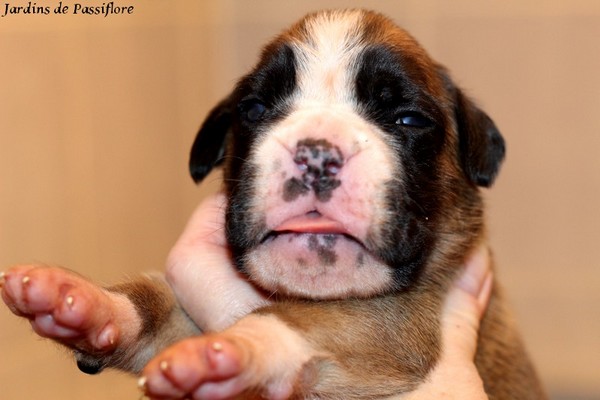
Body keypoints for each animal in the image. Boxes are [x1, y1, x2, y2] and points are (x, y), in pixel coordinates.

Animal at [1, 9, 546, 399]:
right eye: (255, 108)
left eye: (409, 120)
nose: (317, 153)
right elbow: (154, 302)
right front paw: (86, 304)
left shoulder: (396, 321)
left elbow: (296, 320)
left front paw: (234, 346)